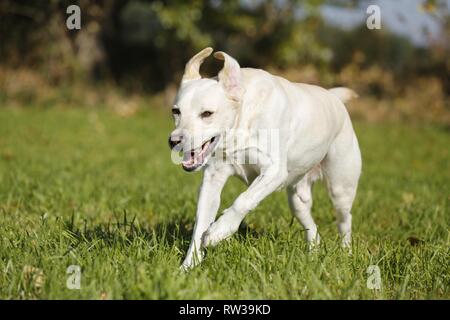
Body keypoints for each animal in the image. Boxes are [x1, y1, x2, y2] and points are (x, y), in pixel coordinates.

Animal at [169, 47, 362, 270]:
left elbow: (243, 200)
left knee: (344, 221)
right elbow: (200, 224)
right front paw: (187, 267)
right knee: (312, 229)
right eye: (176, 111)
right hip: (297, 201)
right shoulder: (212, 180)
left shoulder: (273, 172)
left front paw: (219, 232)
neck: (241, 124)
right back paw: (313, 256)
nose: (174, 141)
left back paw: (346, 254)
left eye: (207, 113)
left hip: (341, 189)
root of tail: (333, 97)